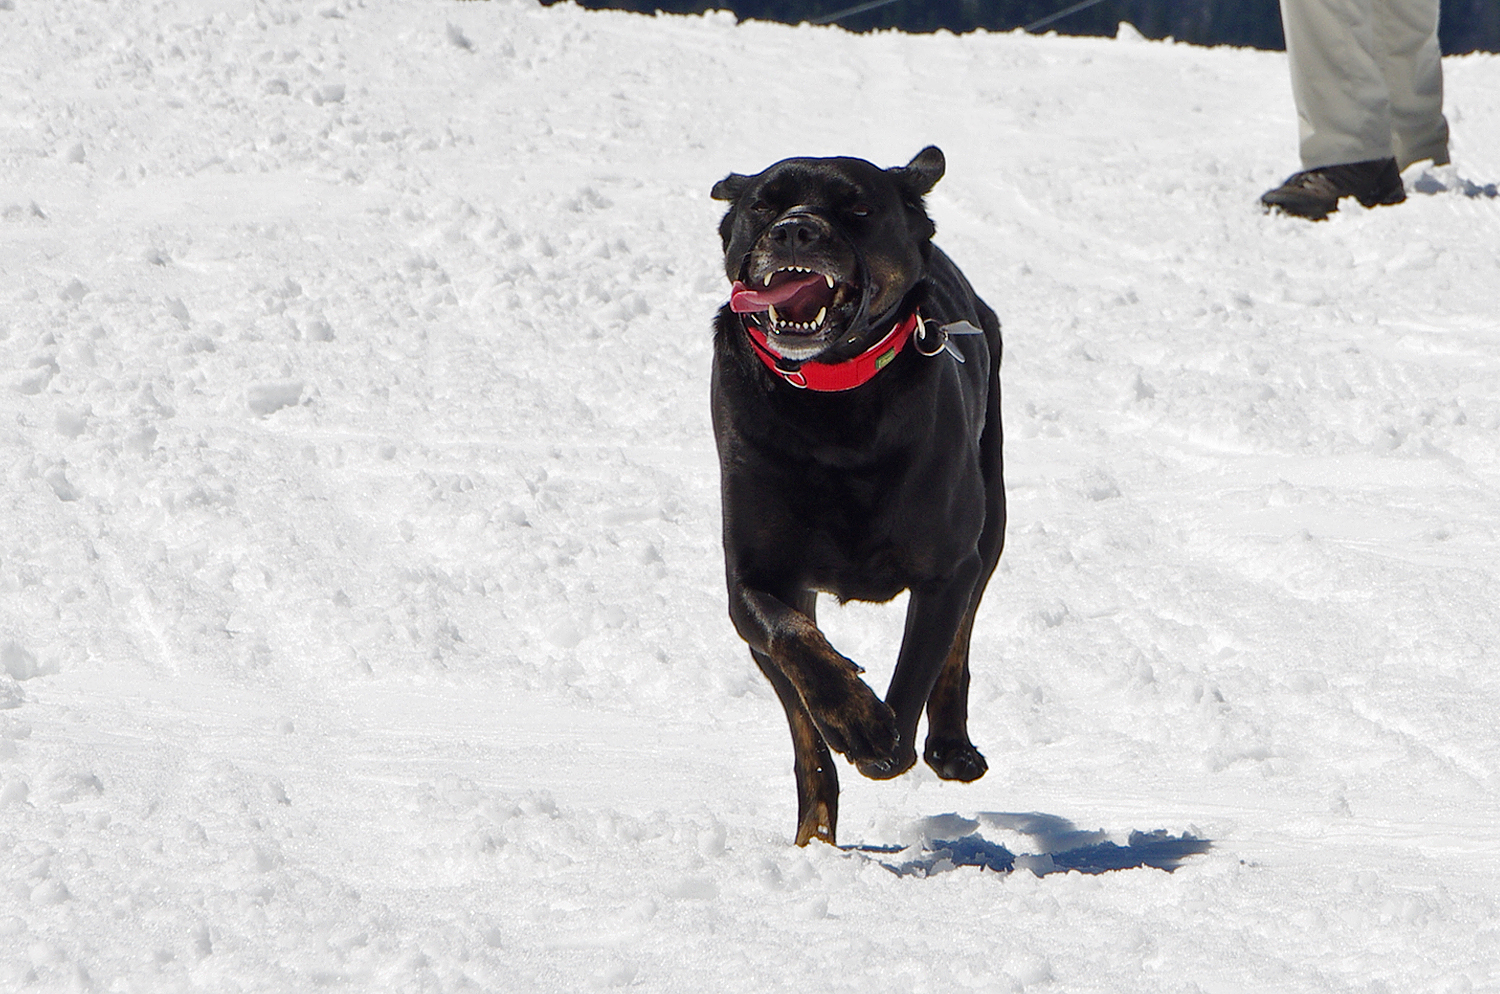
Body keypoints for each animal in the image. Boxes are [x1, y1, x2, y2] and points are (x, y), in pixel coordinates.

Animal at [708, 149, 1002, 845]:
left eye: (860, 208)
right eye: (762, 203)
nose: (795, 229)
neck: (831, 399)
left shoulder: (949, 568)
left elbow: (922, 663)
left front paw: (881, 738)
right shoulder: (754, 578)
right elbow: (792, 648)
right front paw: (854, 720)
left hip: (994, 514)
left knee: (961, 639)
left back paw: (951, 748)